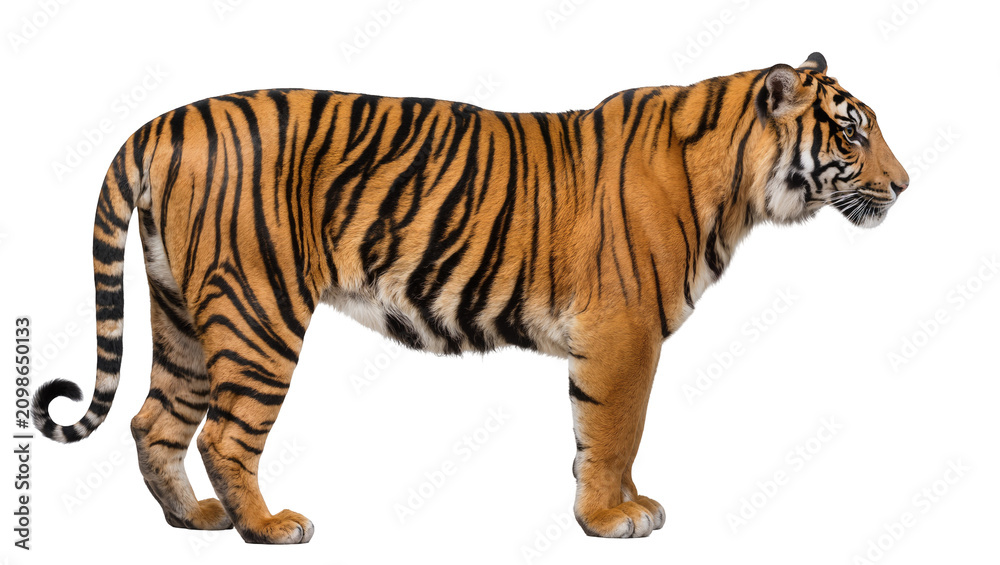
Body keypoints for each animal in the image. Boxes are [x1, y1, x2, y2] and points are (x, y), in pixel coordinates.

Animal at [33, 52, 908, 542]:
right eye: (852, 131)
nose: (904, 184)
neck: (738, 186)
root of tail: (162, 122)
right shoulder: (624, 334)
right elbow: (614, 432)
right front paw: (611, 519)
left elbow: (604, 436)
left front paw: (622, 506)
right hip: (258, 311)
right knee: (222, 434)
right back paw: (268, 527)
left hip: (180, 309)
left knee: (153, 420)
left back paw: (192, 519)